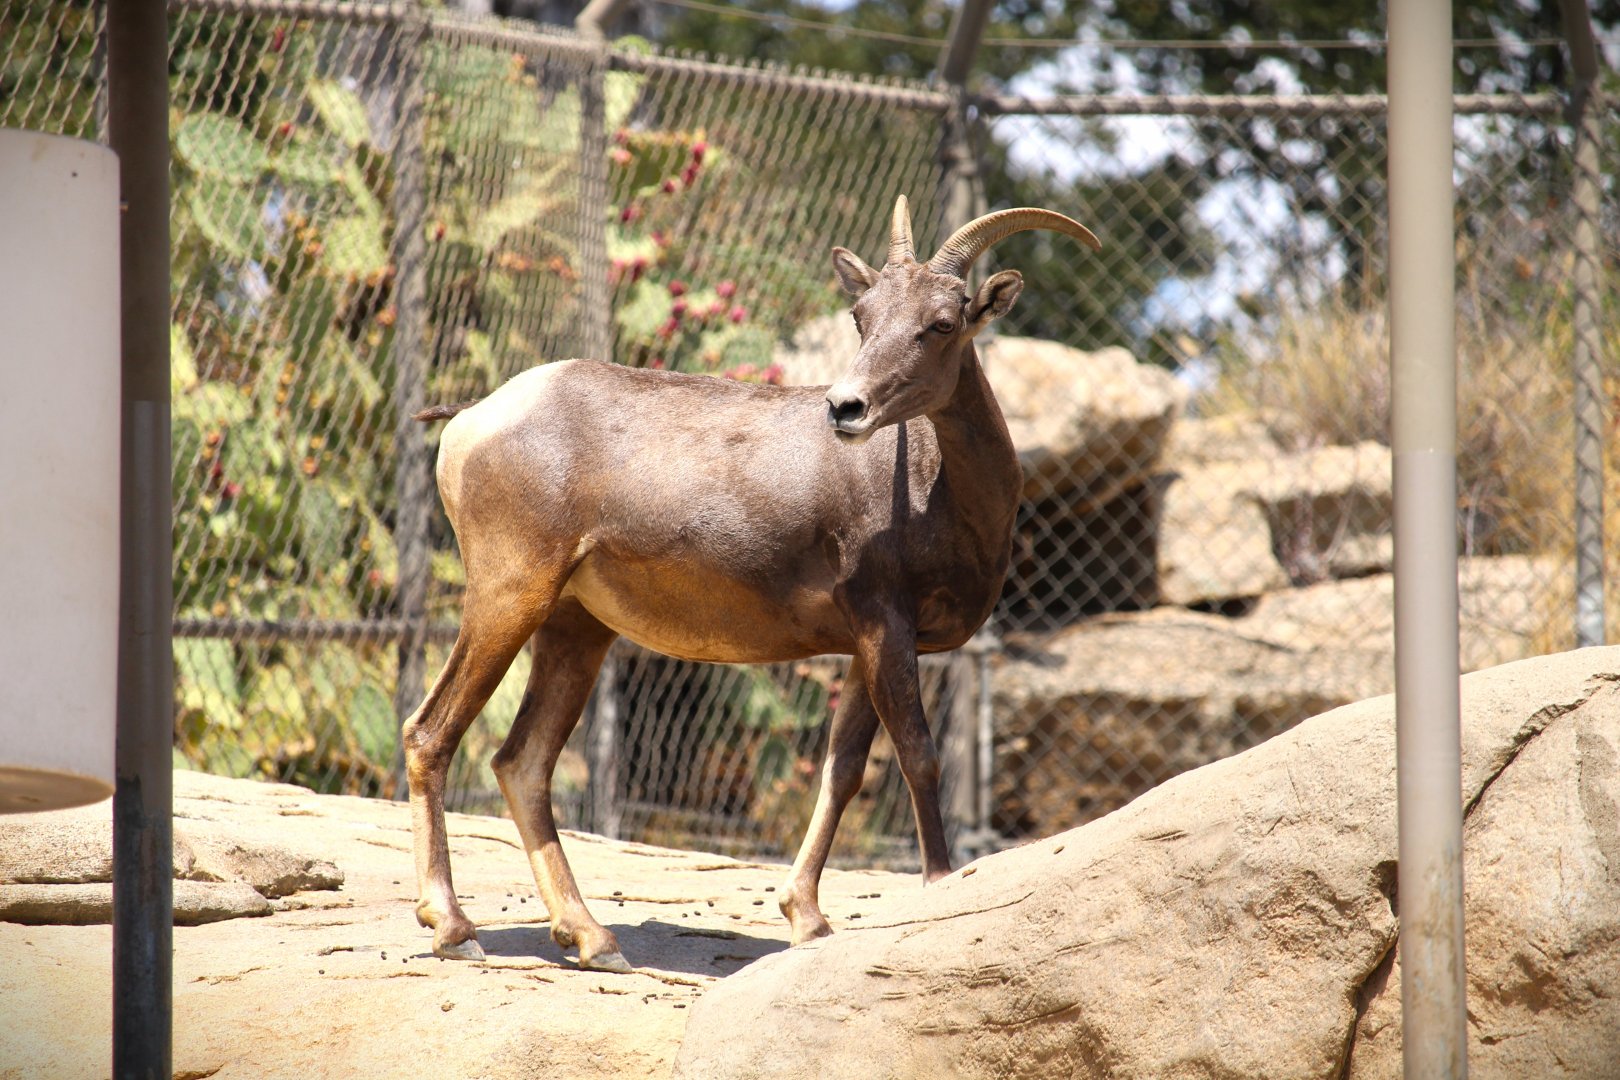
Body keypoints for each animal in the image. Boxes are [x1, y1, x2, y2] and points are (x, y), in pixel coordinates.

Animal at [405, 196, 1099, 971]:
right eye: (862, 315)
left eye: (942, 322)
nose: (847, 408)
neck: (936, 490)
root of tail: (471, 421)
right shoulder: (885, 626)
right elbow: (918, 755)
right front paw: (942, 888)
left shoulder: (870, 646)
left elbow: (843, 769)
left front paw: (809, 920)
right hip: (509, 595)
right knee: (430, 732)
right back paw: (454, 930)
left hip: (574, 628)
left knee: (522, 762)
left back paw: (593, 940)